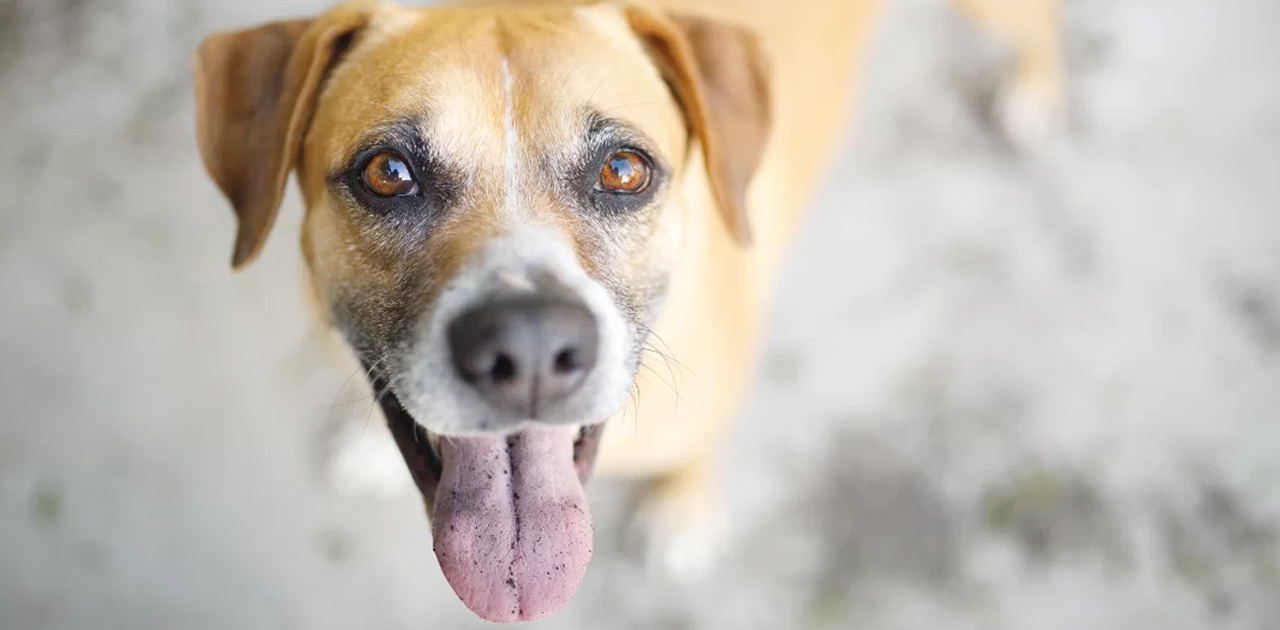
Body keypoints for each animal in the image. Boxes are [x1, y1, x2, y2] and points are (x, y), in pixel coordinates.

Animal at [194, 0, 1059, 619]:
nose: (528, 349)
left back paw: (1033, 95)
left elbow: (700, 454)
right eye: (388, 173)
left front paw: (682, 515)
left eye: (622, 170)